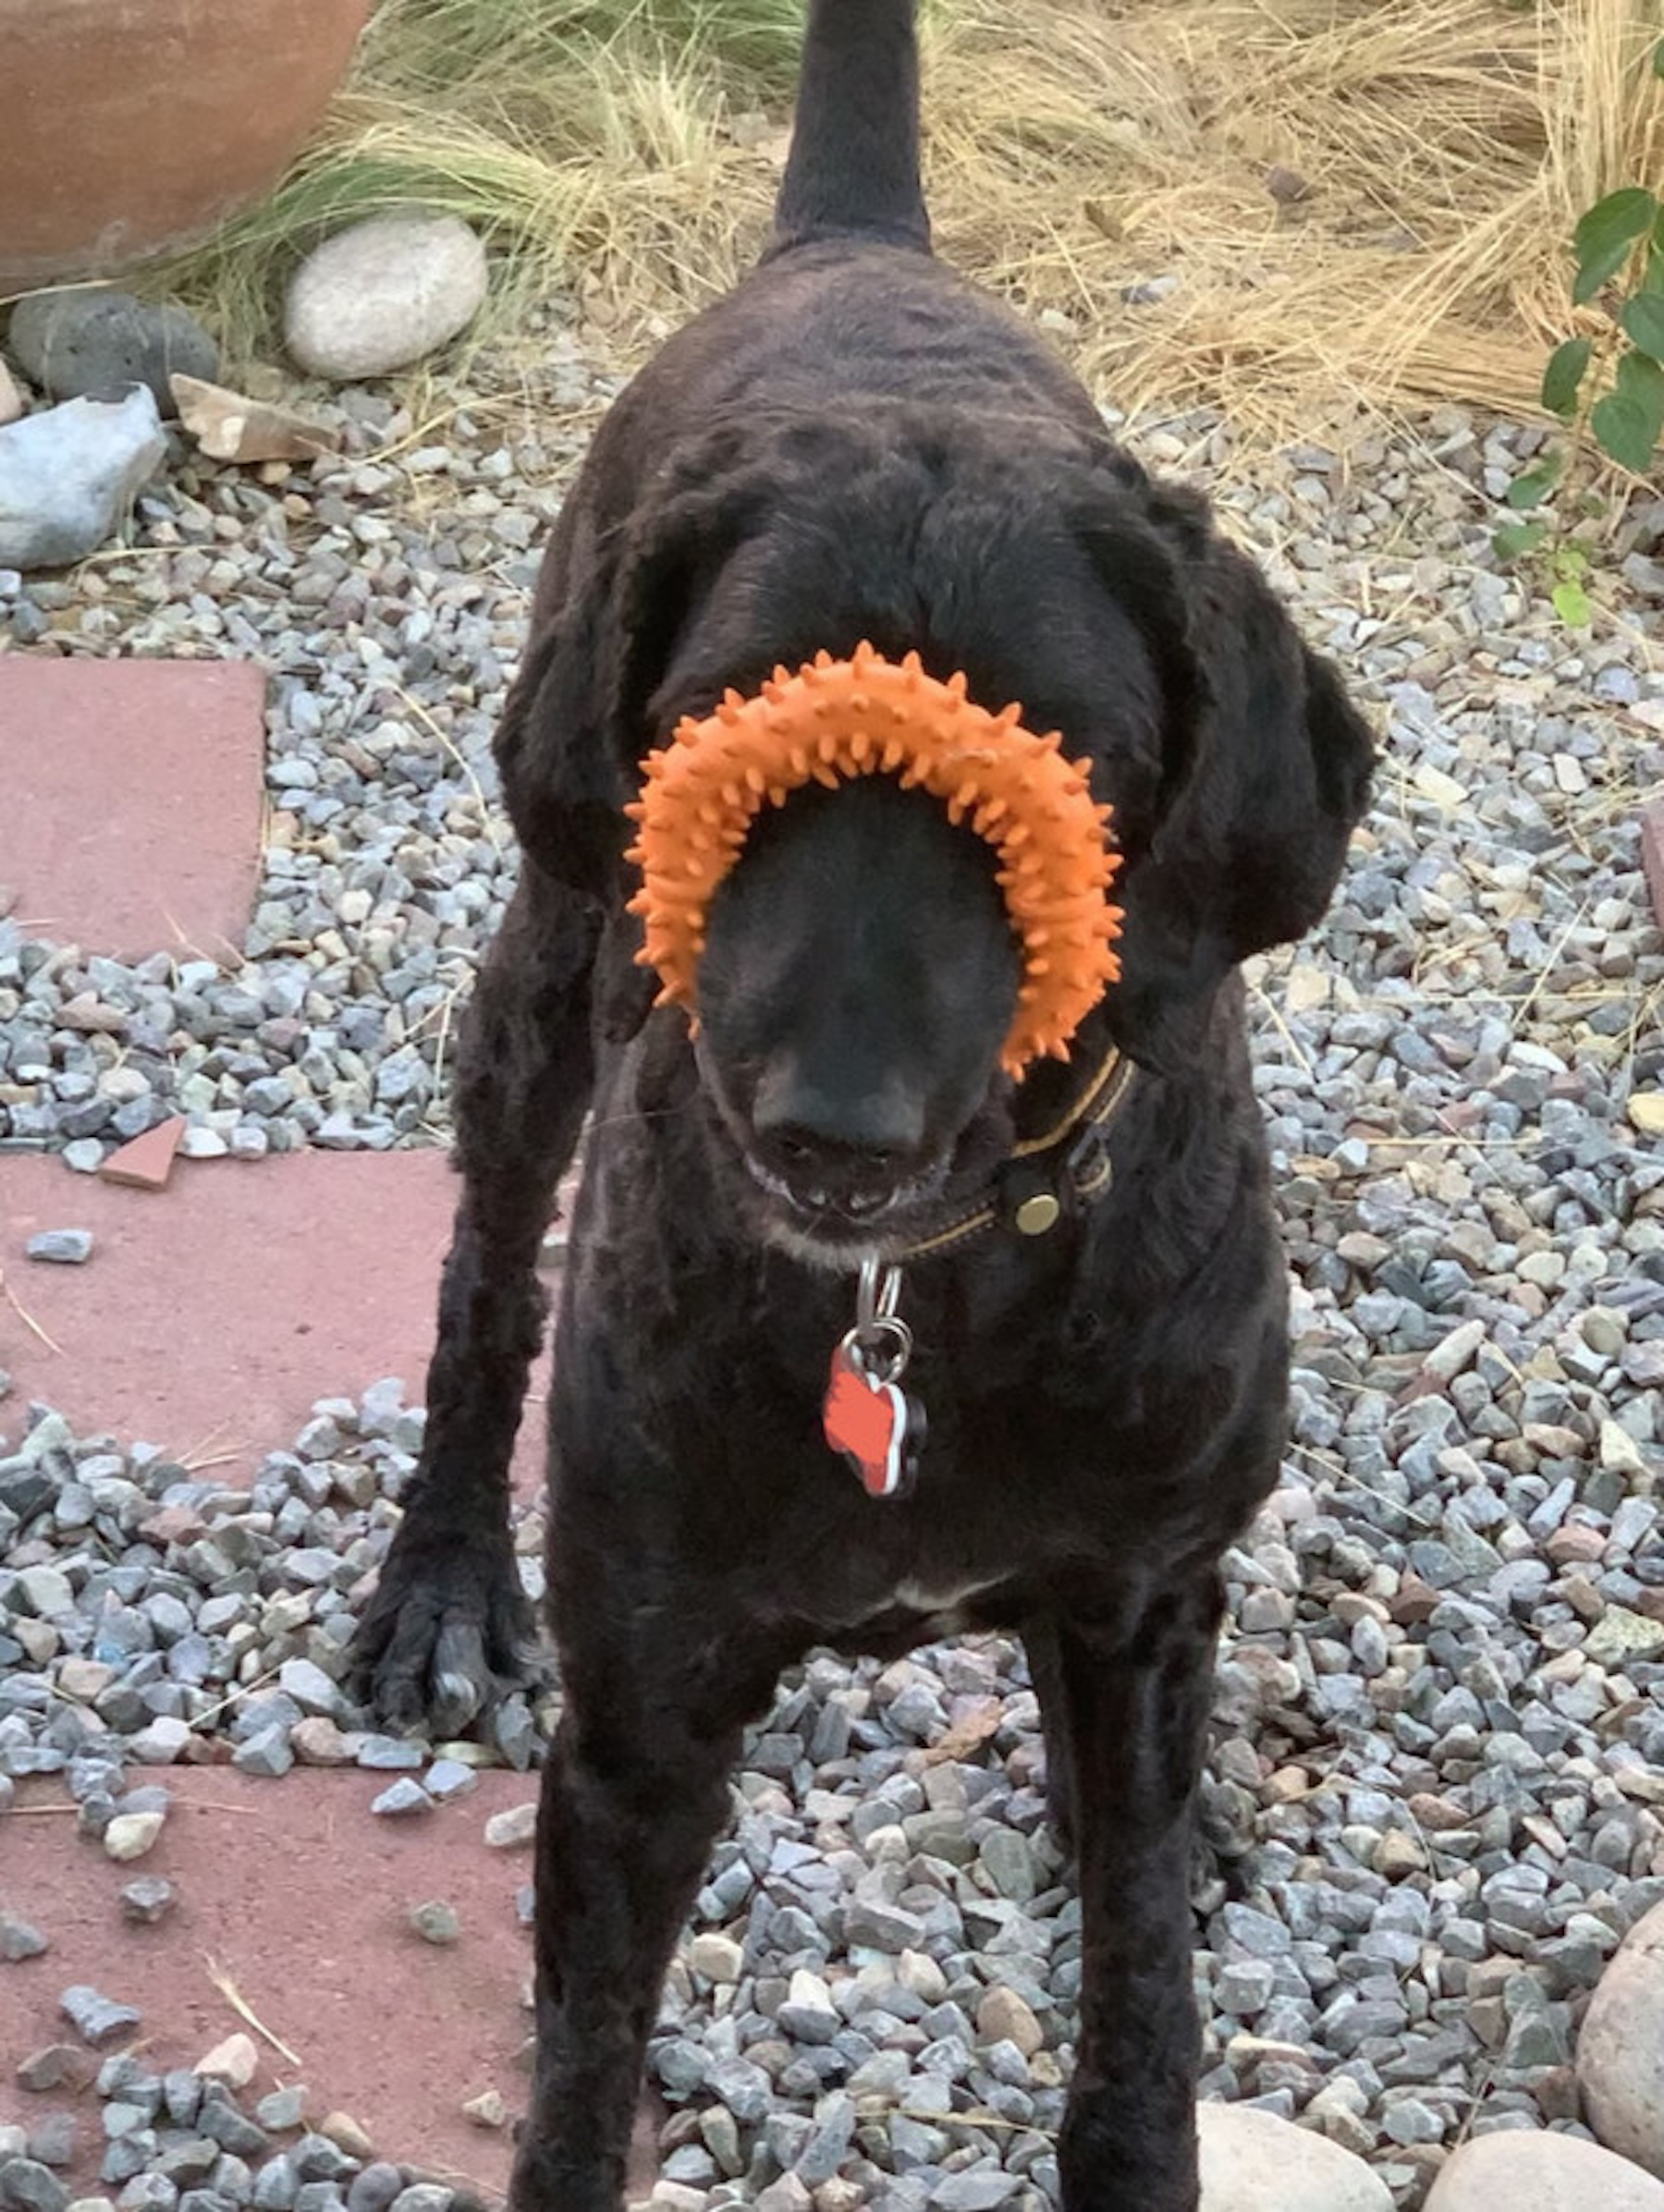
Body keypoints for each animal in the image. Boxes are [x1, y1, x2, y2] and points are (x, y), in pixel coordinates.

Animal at [350, 3, 1375, 2204]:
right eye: (723, 724)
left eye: (1067, 766)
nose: (832, 1127)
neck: (927, 1296)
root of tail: (853, 246)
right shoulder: (649, 1704)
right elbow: (582, 2069)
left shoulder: (1144, 1594)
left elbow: (1143, 2000)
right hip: (541, 996)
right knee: (483, 1286)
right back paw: (444, 1580)